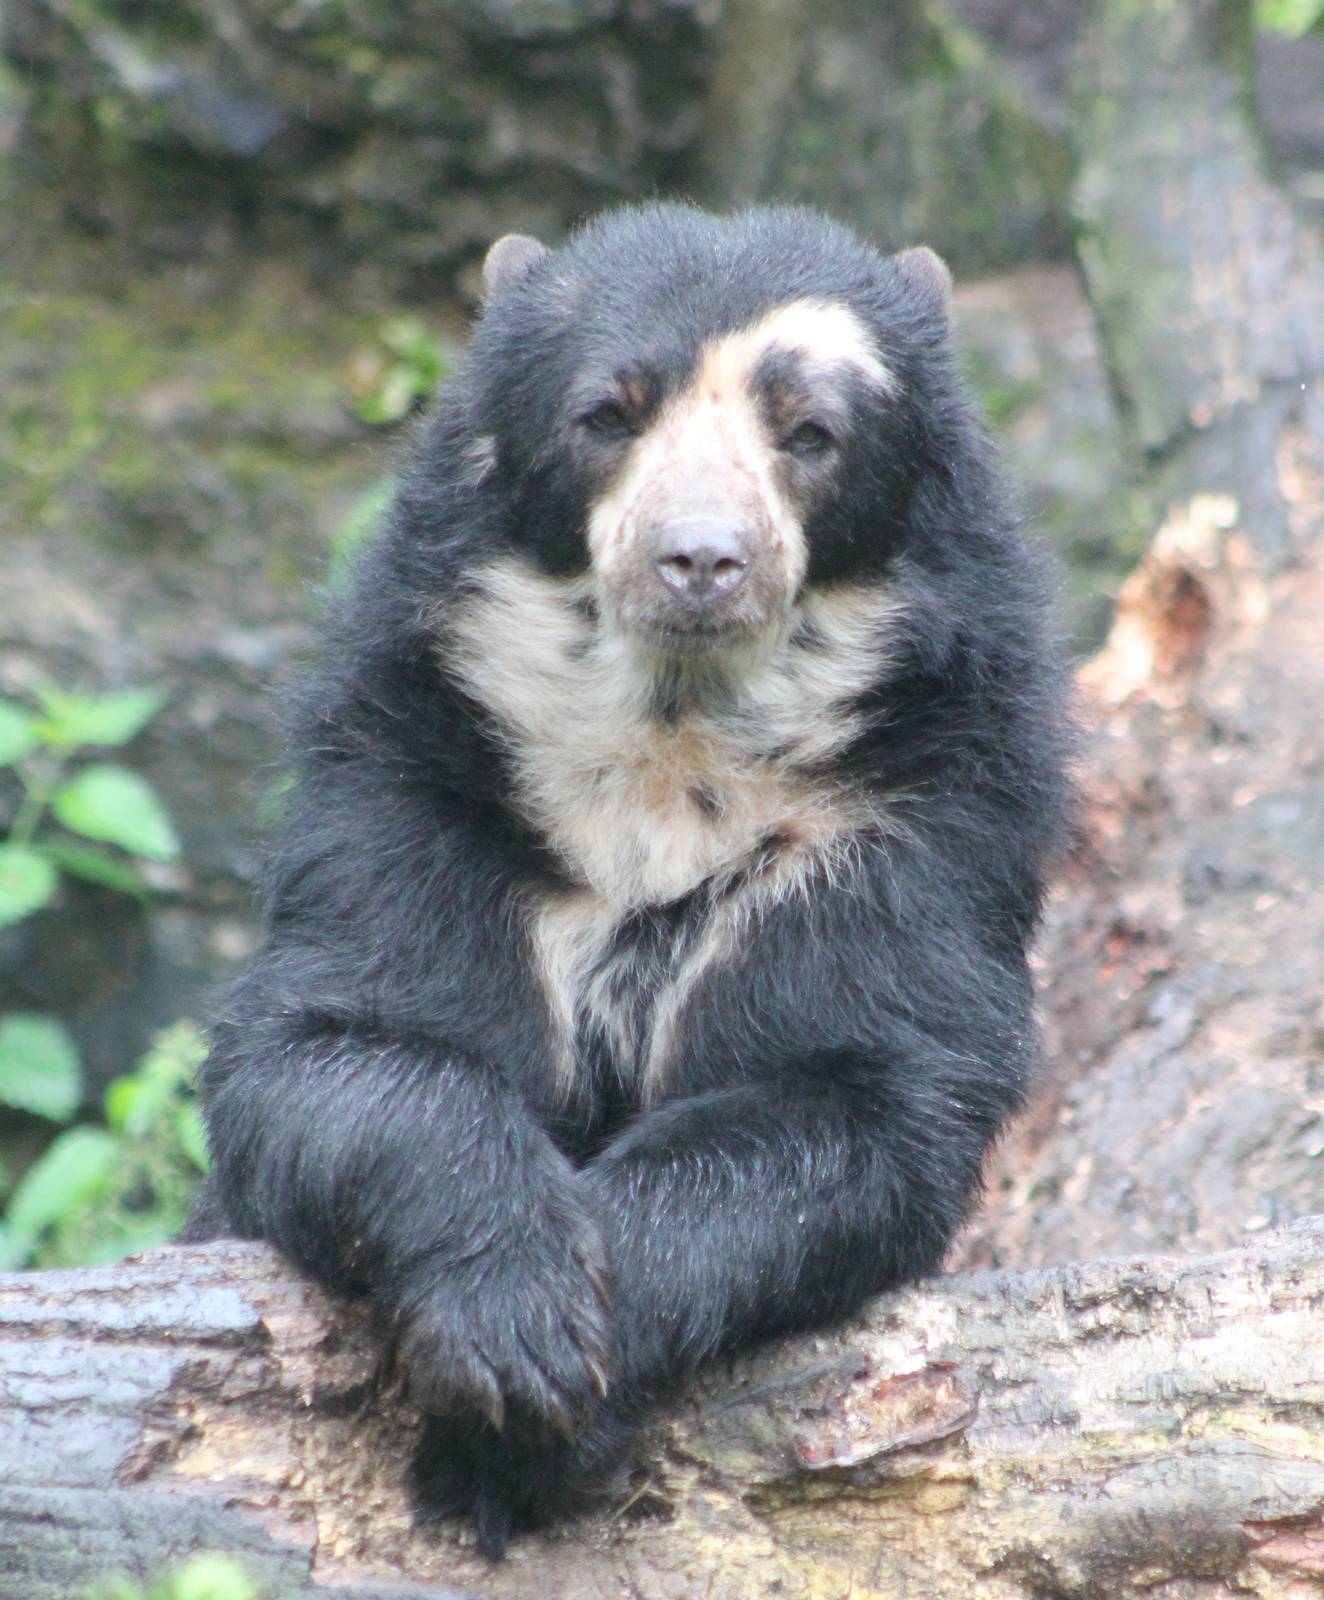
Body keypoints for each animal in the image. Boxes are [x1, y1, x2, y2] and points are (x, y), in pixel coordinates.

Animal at [188, 202, 1071, 1557]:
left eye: (809, 435)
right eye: (607, 414)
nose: (698, 560)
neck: (670, 748)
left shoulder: (905, 817)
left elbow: (843, 1096)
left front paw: (522, 1430)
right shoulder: (429, 780)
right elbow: (346, 1039)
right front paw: (513, 1324)